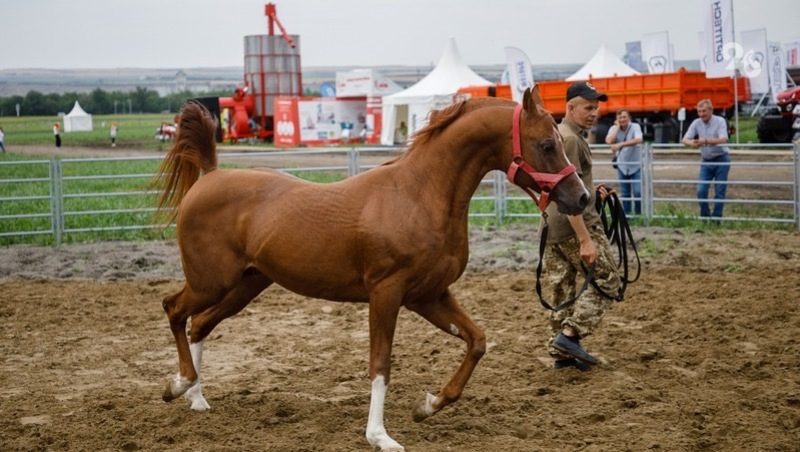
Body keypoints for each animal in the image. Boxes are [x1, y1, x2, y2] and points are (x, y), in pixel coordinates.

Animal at [155, 86, 588, 450]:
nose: (582, 197)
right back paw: (179, 385)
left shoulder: (429, 296)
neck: (418, 196)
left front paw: (428, 405)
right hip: (211, 282)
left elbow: (477, 341)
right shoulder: (386, 294)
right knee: (174, 310)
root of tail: (209, 176)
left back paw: (196, 397)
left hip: (246, 285)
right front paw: (380, 436)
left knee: (200, 324)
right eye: (547, 144)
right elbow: (381, 365)